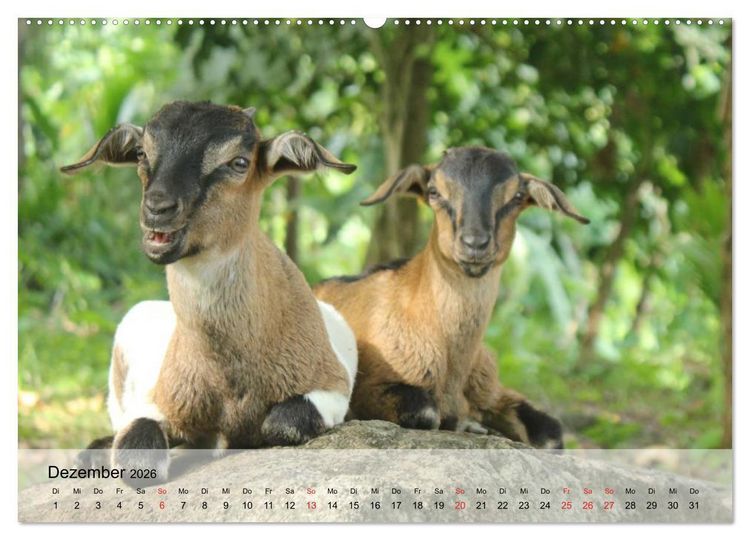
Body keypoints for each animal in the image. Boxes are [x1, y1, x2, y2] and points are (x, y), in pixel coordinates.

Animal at [61, 101, 358, 483]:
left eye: (239, 162)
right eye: (142, 153)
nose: (157, 208)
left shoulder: (332, 387)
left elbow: (282, 423)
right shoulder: (160, 401)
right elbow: (137, 455)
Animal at [314, 147, 589, 448]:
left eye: (517, 196)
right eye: (434, 192)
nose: (475, 244)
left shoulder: (492, 390)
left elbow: (550, 432)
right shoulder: (371, 387)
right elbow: (426, 413)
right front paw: (471, 424)